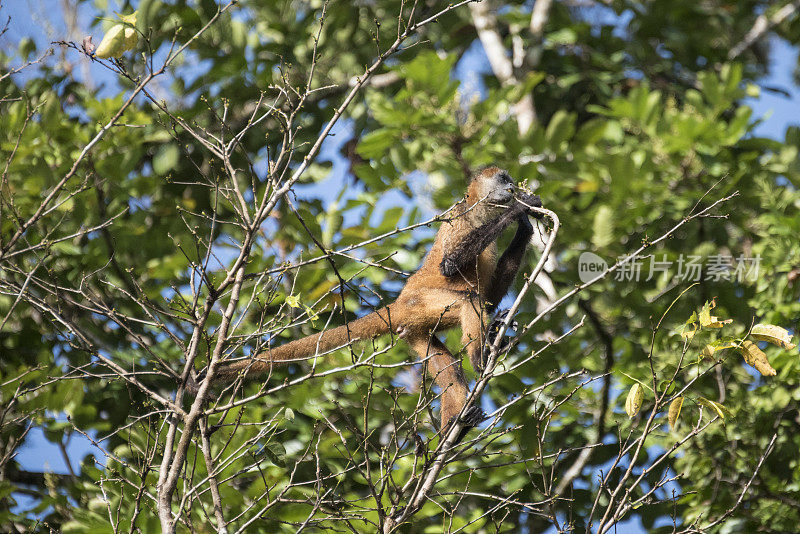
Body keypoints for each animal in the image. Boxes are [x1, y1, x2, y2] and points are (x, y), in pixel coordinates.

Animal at [196, 170, 540, 442]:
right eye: (503, 179)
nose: (512, 186)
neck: (479, 211)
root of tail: (398, 304)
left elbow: (490, 296)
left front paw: (525, 223)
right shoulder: (460, 215)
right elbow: (450, 266)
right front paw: (520, 208)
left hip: (415, 329)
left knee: (450, 367)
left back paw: (456, 425)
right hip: (421, 303)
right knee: (468, 301)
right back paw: (479, 359)